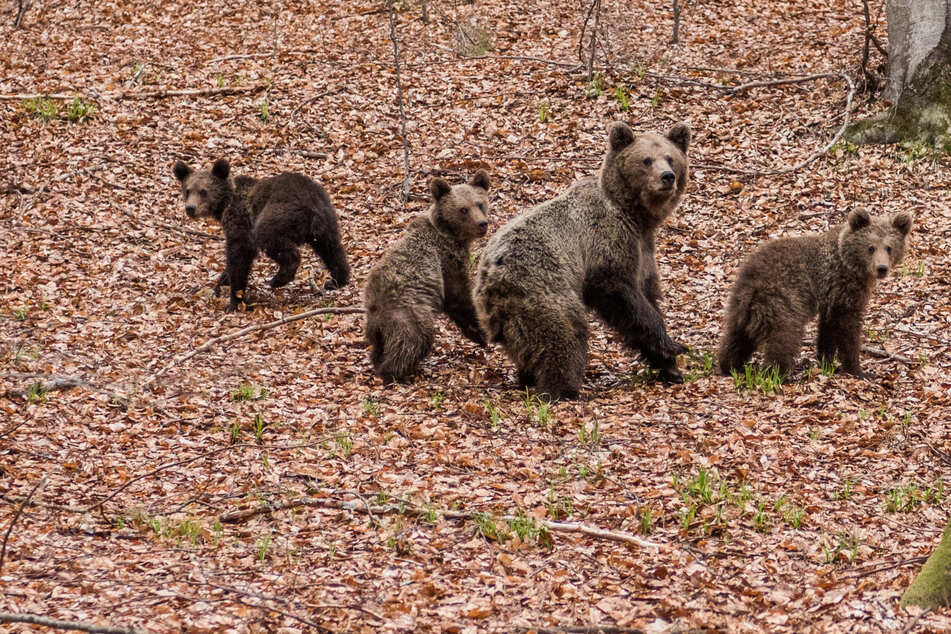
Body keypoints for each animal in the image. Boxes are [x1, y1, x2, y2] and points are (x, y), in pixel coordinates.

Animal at [172, 159, 350, 312]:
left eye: (203, 191)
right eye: (187, 190)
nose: (190, 208)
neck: (224, 206)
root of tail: (311, 202)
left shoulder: (240, 224)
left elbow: (238, 258)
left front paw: (235, 300)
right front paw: (220, 287)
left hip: (279, 214)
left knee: (272, 239)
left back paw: (278, 279)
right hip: (326, 220)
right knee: (332, 249)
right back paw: (336, 280)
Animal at [364, 171, 490, 383]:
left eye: (480, 203)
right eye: (463, 209)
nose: (482, 224)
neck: (452, 236)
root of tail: (375, 303)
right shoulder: (446, 262)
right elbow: (459, 296)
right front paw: (479, 331)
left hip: (378, 328)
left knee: (379, 347)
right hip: (409, 312)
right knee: (415, 340)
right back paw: (395, 373)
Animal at [473, 121, 691, 400]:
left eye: (670, 158)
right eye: (646, 160)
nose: (667, 176)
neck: (636, 216)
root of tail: (488, 281)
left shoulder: (644, 250)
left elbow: (647, 295)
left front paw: (669, 365)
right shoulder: (607, 243)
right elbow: (621, 294)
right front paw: (673, 346)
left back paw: (528, 377)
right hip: (540, 289)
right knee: (565, 333)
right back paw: (563, 388)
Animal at [717, 208, 912, 378]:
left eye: (889, 247)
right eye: (871, 248)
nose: (882, 268)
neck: (850, 264)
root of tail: (753, 279)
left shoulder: (830, 298)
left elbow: (828, 328)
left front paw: (826, 361)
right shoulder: (844, 290)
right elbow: (848, 329)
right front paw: (857, 369)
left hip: (741, 305)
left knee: (736, 336)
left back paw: (730, 366)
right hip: (783, 300)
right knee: (783, 337)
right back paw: (777, 374)